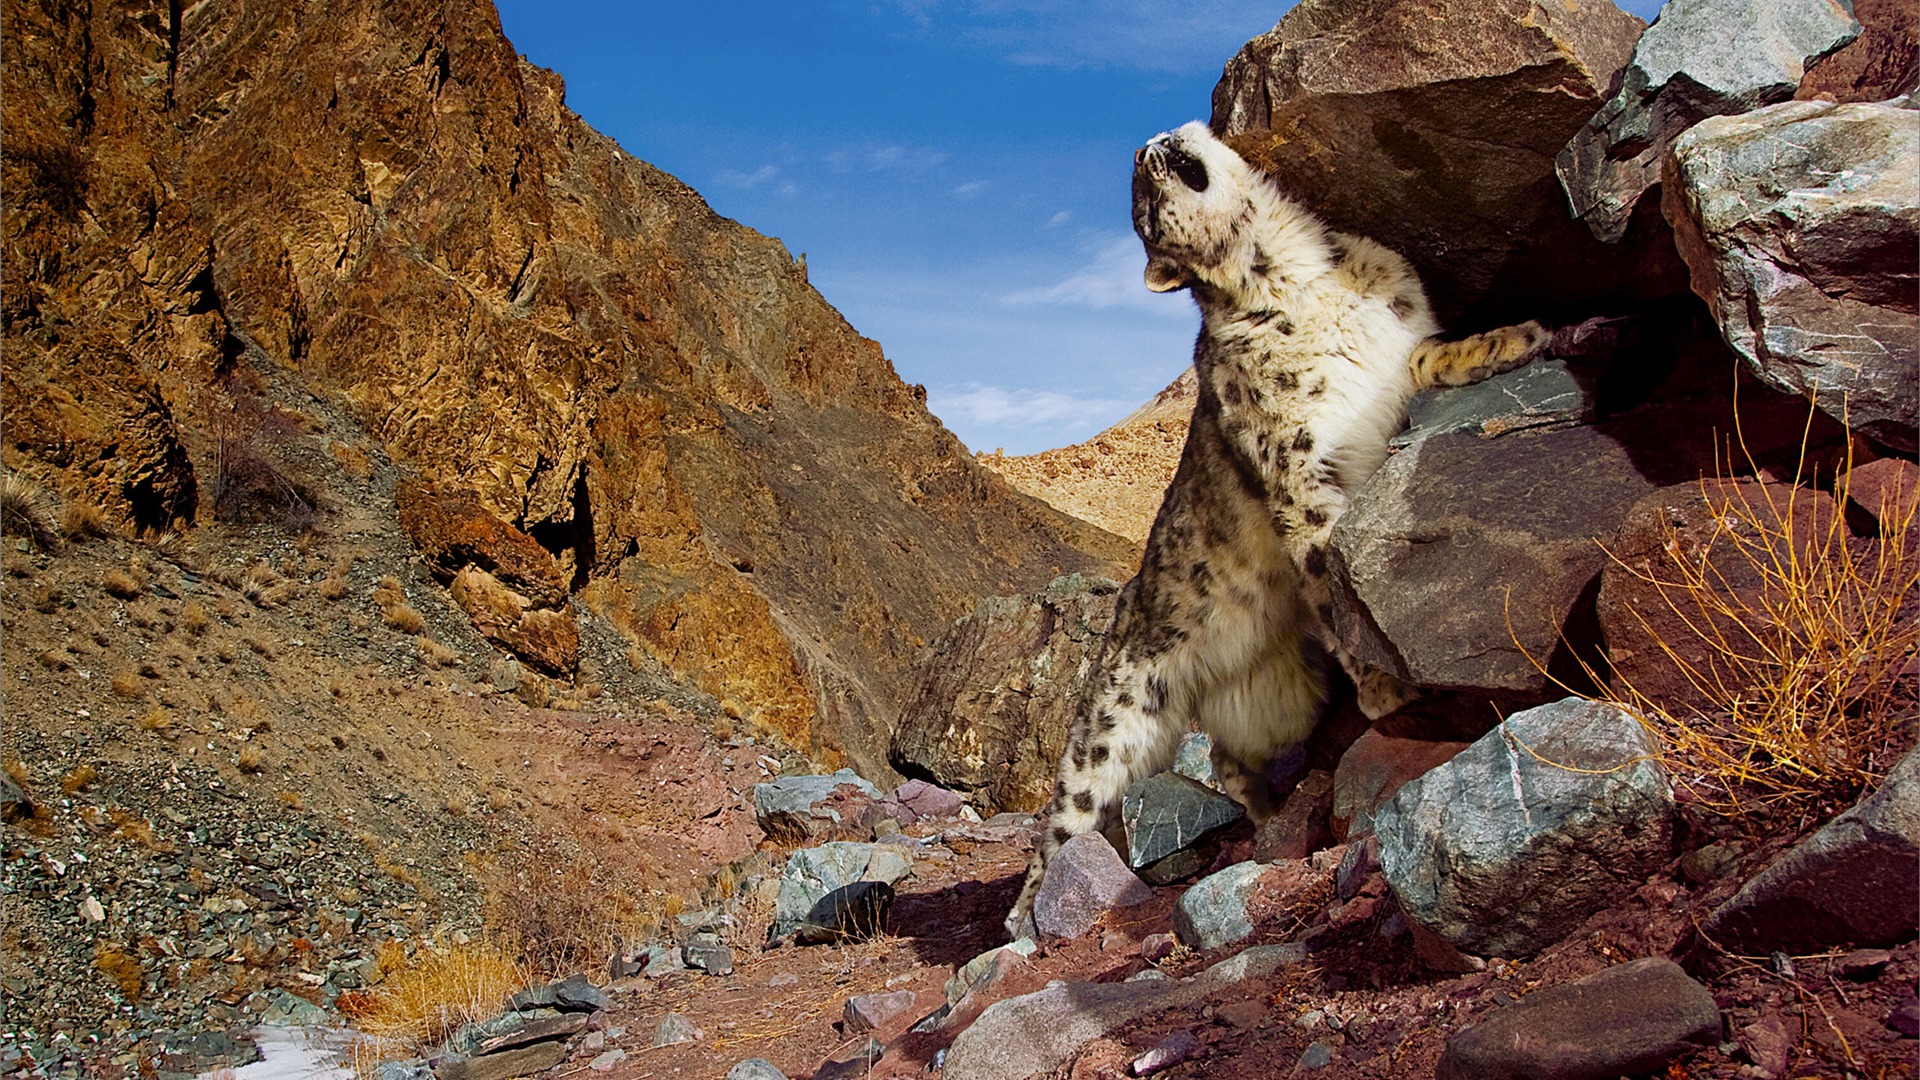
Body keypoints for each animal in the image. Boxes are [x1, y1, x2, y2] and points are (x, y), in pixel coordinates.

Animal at [1006, 119, 1559, 933]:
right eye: (1143, 212)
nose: (1143, 149)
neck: (1300, 272)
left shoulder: (1397, 353)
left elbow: (1435, 354)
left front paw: (1521, 336)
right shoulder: (1297, 470)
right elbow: (1327, 566)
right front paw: (1387, 688)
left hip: (1282, 693)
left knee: (1230, 756)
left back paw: (1266, 810)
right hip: (1107, 731)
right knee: (1066, 820)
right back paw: (1022, 923)